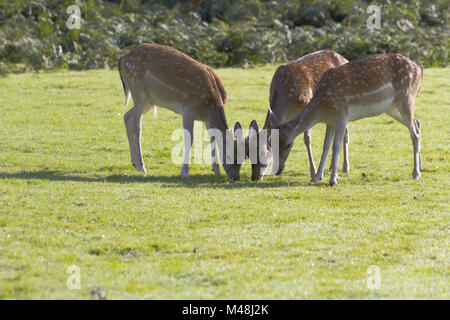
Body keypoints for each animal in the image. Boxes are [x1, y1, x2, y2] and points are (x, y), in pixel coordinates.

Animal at [116, 43, 243, 181]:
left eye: (243, 157)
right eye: (229, 156)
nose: (235, 178)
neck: (210, 105)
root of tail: (122, 58)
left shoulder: (206, 118)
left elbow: (212, 137)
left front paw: (216, 170)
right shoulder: (188, 109)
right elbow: (189, 139)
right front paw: (184, 173)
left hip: (150, 100)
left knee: (127, 116)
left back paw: (134, 163)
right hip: (138, 90)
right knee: (137, 126)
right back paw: (141, 166)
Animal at [246, 49, 348, 180]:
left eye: (263, 153)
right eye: (248, 153)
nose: (255, 177)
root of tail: (344, 58)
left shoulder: (307, 103)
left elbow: (307, 139)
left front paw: (313, 171)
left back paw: (345, 167)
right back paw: (330, 167)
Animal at [266, 52, 424, 185]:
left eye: (288, 144)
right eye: (270, 143)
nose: (278, 170)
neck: (323, 106)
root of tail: (420, 68)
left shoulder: (342, 114)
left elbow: (336, 145)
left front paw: (333, 179)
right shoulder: (330, 121)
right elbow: (325, 146)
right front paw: (317, 177)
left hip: (406, 96)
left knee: (414, 132)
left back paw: (416, 174)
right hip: (391, 107)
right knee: (417, 123)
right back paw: (420, 167)